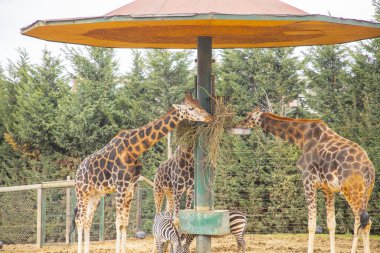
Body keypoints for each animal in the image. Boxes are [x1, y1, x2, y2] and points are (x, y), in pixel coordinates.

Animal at [72, 93, 212, 253]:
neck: (133, 150)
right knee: (80, 220)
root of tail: (77, 172)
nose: (209, 117)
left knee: (87, 221)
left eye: (199, 104)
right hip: (82, 192)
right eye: (190, 108)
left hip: (95, 195)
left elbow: (124, 223)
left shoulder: (130, 188)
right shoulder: (120, 186)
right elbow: (118, 222)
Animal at [236, 107, 376, 253]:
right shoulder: (328, 189)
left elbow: (311, 225)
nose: (239, 124)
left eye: (249, 116)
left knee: (365, 222)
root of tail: (369, 168)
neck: (302, 137)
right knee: (359, 221)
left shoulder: (308, 181)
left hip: (352, 190)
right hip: (366, 192)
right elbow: (331, 224)